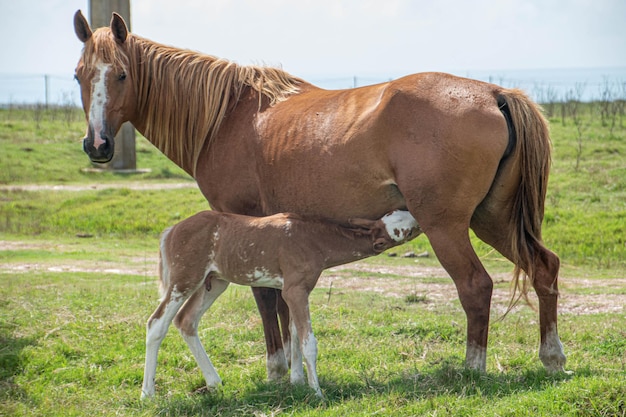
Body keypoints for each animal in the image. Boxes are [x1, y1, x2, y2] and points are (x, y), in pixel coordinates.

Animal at [141, 210, 420, 398]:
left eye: (401, 215)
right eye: (406, 229)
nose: (417, 217)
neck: (313, 239)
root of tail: (170, 231)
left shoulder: (295, 291)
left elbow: (293, 332)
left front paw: (298, 382)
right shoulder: (295, 289)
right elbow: (308, 342)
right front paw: (317, 392)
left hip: (215, 282)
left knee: (186, 320)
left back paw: (214, 382)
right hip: (185, 279)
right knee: (156, 323)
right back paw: (148, 394)